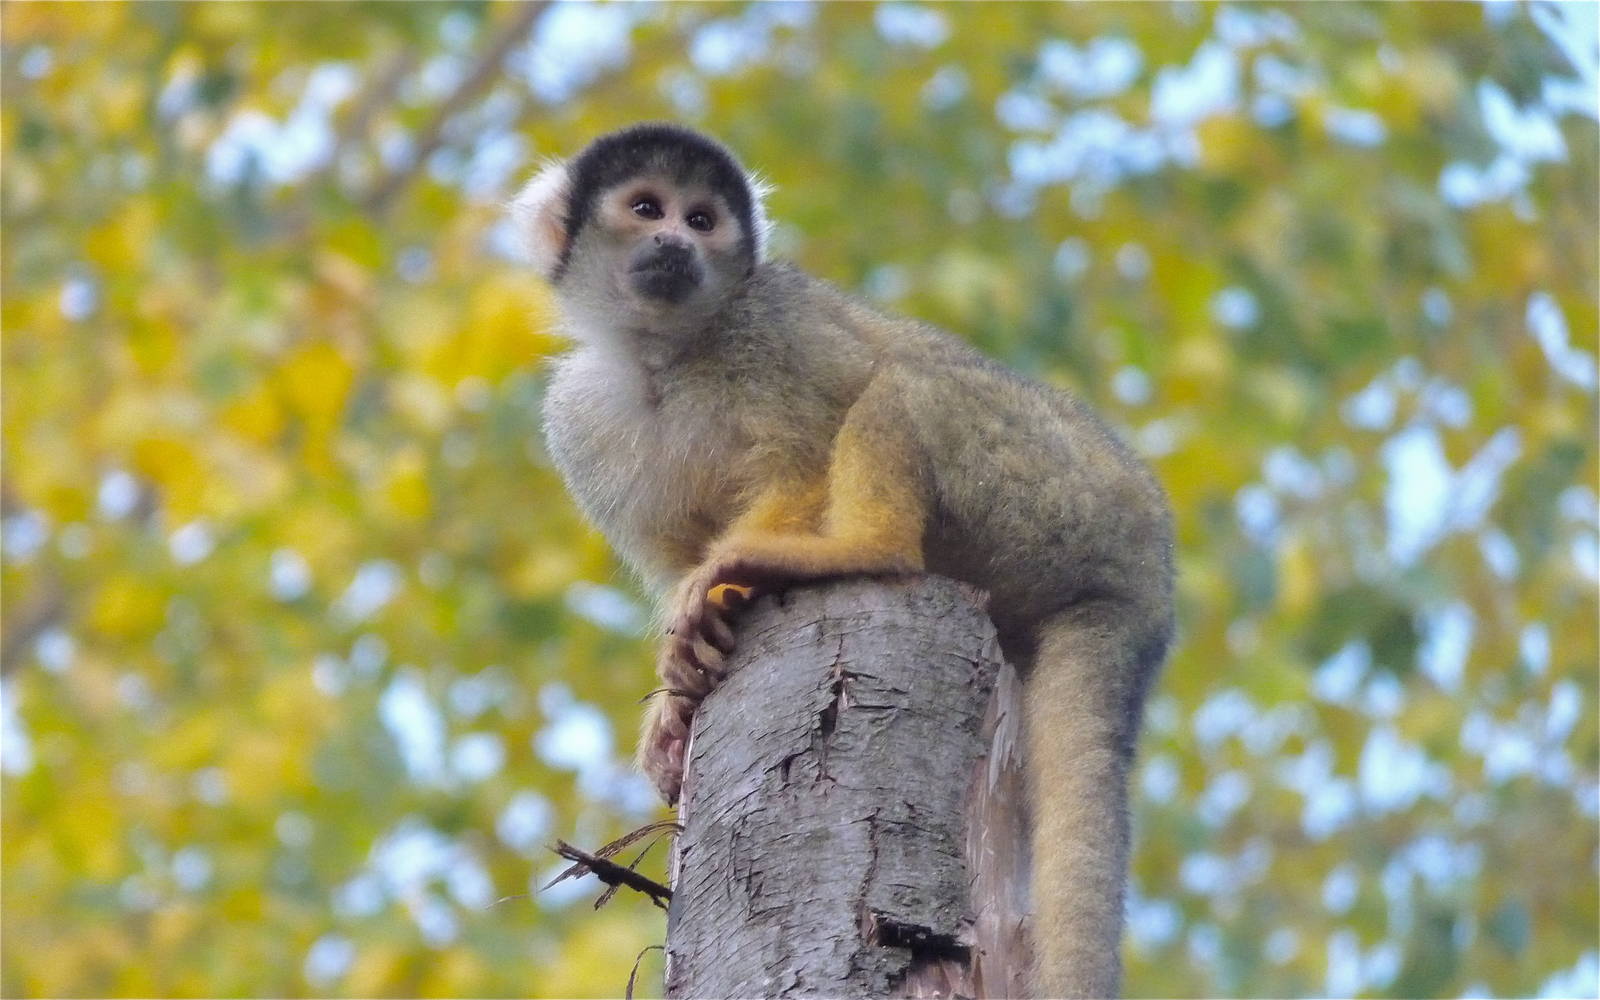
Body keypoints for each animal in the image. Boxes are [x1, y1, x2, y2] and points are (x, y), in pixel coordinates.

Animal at [512, 122, 1174, 999]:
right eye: (647, 208)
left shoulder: (769, 325)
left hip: (1058, 494)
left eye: (702, 219)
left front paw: (718, 587)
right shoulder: (576, 418)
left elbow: (798, 467)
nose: (674, 243)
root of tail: (1148, 587)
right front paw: (678, 697)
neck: (667, 349)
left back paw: (851, 547)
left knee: (903, 384)